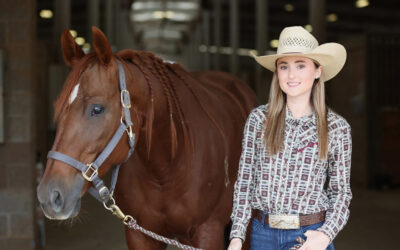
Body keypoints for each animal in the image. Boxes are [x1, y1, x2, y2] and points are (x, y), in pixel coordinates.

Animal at [36, 26, 256, 249]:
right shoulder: (140, 235)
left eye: (97, 109)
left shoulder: (207, 232)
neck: (167, 167)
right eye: (57, 107)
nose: (50, 196)